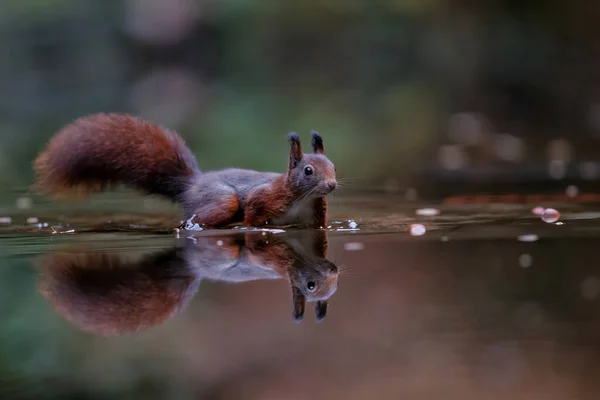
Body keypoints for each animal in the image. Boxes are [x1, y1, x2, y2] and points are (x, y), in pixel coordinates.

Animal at [32, 112, 338, 228]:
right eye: (308, 171)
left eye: (333, 167)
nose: (332, 185)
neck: (301, 198)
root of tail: (192, 184)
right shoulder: (266, 196)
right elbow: (252, 211)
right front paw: (249, 226)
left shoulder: (316, 216)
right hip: (221, 201)